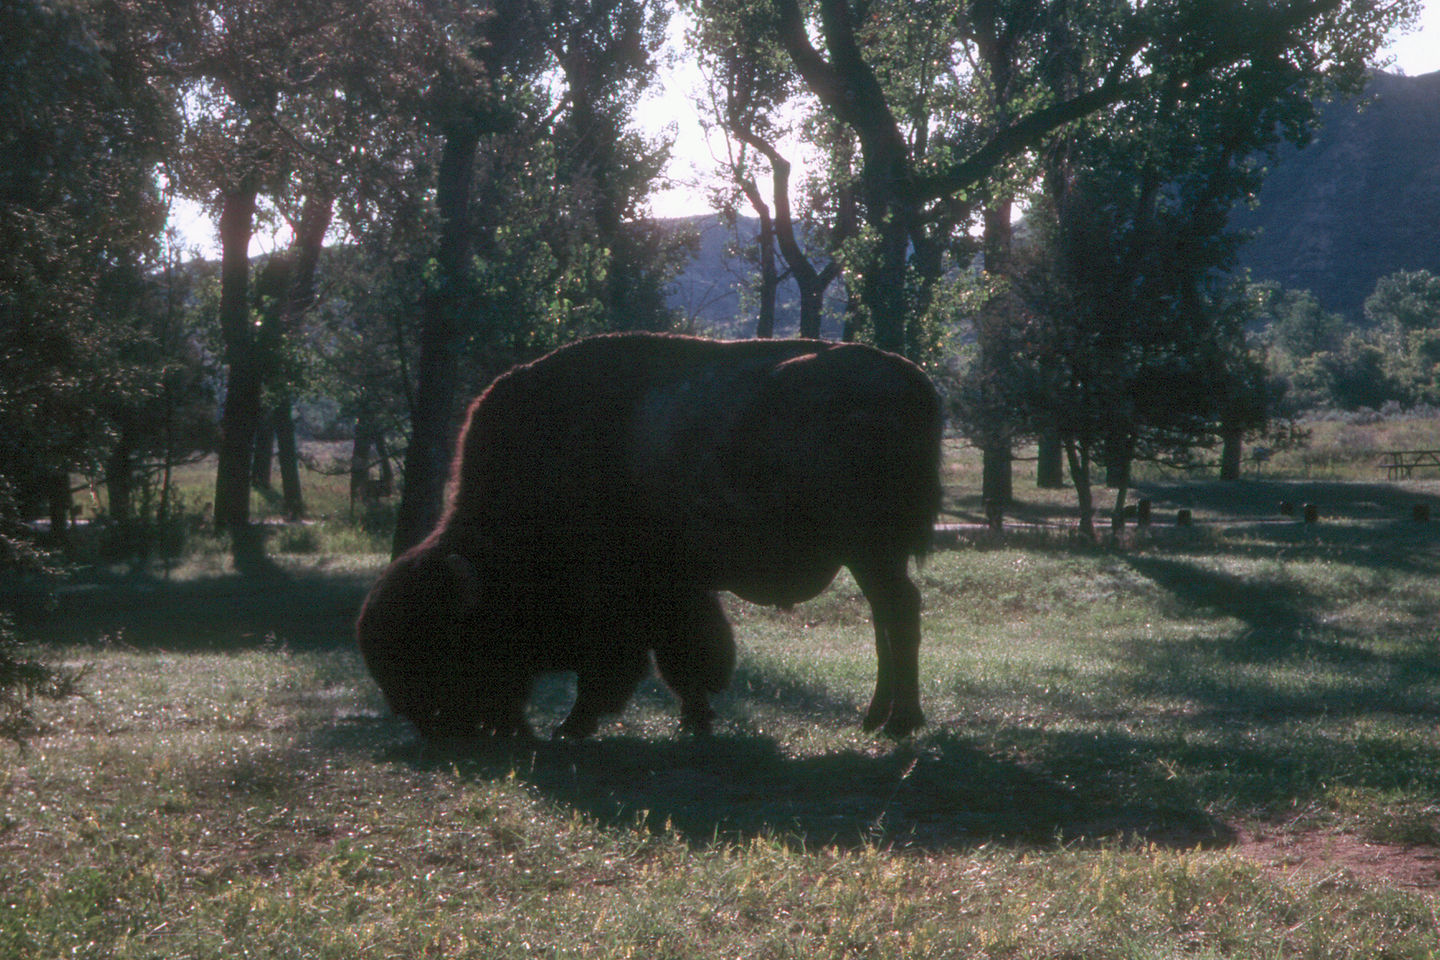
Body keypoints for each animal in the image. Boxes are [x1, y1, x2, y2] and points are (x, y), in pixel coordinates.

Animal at [357, 333, 944, 742]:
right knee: (887, 618)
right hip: (870, 555)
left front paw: (574, 725)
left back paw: (901, 722)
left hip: (872, 550)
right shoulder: (677, 594)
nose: (430, 726)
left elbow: (640, 664)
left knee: (899, 614)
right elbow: (683, 657)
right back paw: (875, 718)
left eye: (441, 640)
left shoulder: (635, 601)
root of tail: (914, 383)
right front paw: (695, 721)